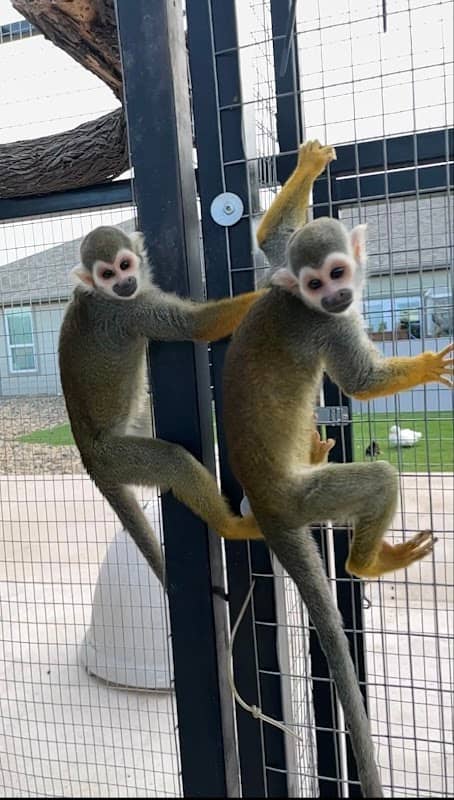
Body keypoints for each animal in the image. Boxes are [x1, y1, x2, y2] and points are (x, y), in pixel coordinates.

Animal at [59, 225, 268, 588]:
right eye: (107, 274)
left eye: (124, 265)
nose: (124, 283)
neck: (105, 297)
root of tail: (87, 458)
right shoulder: (128, 312)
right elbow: (194, 325)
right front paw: (278, 286)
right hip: (115, 457)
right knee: (174, 461)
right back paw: (231, 526)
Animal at [222, 140, 454, 797]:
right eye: (315, 284)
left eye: (337, 273)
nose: (332, 297)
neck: (300, 300)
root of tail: (266, 505)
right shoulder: (329, 326)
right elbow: (361, 382)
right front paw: (427, 364)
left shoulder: (286, 276)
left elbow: (271, 240)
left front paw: (307, 167)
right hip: (304, 499)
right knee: (378, 480)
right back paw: (366, 562)